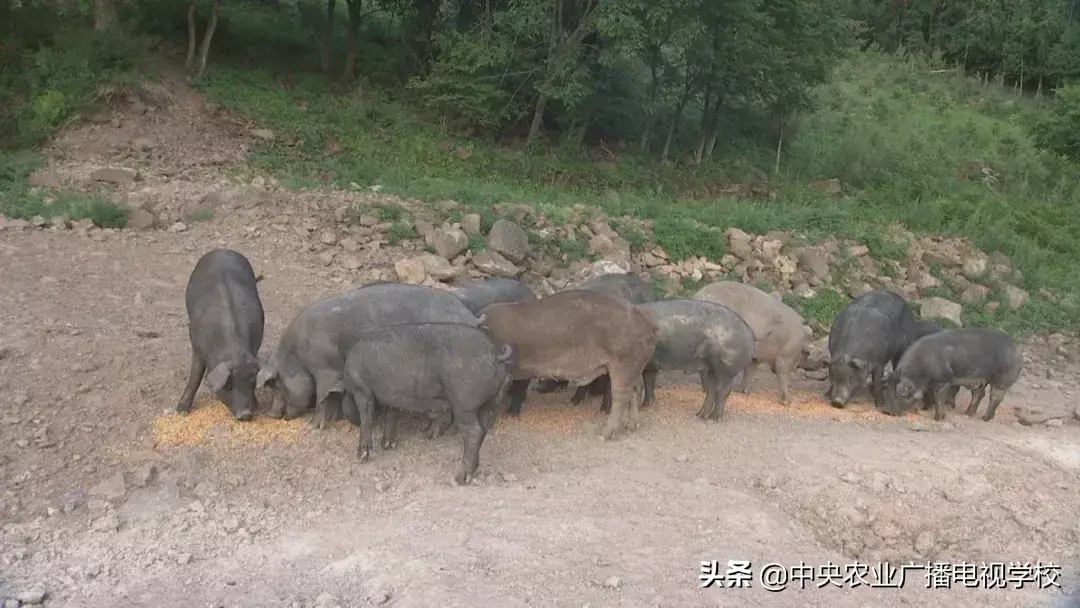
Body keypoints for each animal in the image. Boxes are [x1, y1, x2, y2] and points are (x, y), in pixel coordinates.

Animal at [176, 249, 264, 421]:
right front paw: (181, 412)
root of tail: (222, 250)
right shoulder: (196, 346)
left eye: (252, 384)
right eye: (229, 385)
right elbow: (195, 377)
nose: (245, 414)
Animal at [257, 285, 477, 429]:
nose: (272, 414)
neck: (297, 355)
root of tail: (470, 316)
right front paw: (335, 416)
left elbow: (321, 395)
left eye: (278, 384)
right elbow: (332, 395)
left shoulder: (326, 367)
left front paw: (313, 426)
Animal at [345, 323, 514, 485]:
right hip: (487, 404)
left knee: (474, 432)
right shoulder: (393, 396)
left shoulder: (362, 389)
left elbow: (366, 419)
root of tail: (494, 352)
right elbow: (392, 415)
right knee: (483, 429)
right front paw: (387, 445)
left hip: (464, 403)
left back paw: (461, 479)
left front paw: (361, 456)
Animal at [885, 328, 1019, 423]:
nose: (888, 412)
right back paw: (967, 414)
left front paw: (937, 419)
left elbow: (939, 399)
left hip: (1003, 378)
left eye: (902, 394)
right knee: (979, 394)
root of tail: (1015, 348)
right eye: (887, 390)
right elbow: (929, 396)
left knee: (995, 396)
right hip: (981, 380)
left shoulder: (943, 381)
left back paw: (985, 419)